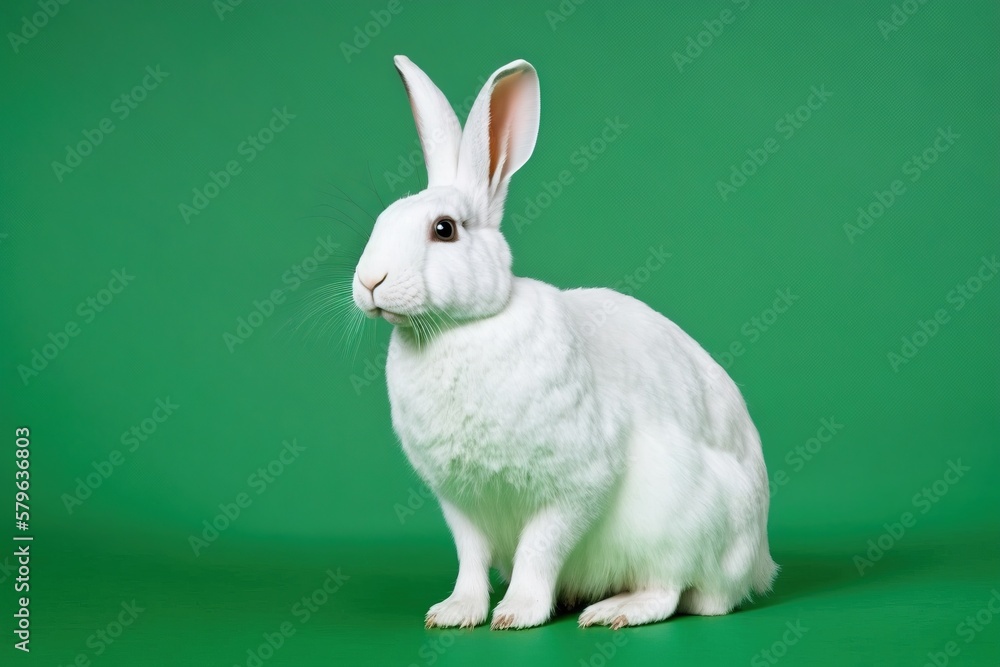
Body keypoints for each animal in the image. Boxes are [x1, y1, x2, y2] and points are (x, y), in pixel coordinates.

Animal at [354, 54, 780, 628]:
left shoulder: (574, 487)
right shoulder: (460, 504)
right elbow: (470, 559)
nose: (369, 281)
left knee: (670, 591)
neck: (459, 328)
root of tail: (756, 563)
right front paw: (455, 612)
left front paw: (516, 614)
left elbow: (540, 550)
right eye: (382, 220)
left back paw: (612, 610)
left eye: (444, 229)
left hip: (678, 522)